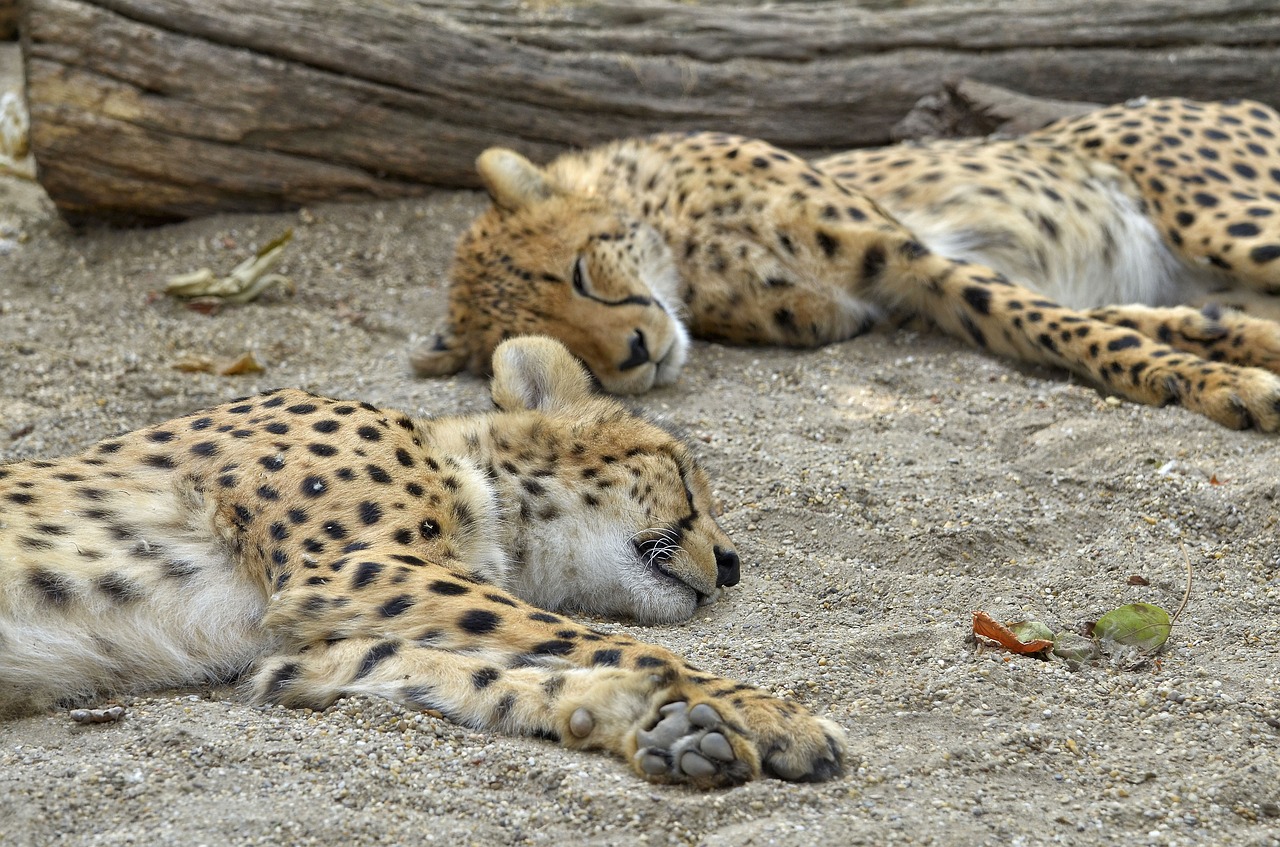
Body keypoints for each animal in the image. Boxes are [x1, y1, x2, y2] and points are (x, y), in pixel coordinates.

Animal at [0, 337, 844, 788]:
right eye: (682, 476)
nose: (731, 564)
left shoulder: (298, 654)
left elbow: (471, 674)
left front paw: (660, 725)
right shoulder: (359, 568)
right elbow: (623, 642)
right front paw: (768, 713)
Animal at [409, 97, 1280, 432]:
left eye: (581, 273)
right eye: (555, 342)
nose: (632, 353)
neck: (685, 244)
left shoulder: (909, 257)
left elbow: (1071, 327)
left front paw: (1218, 384)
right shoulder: (885, 302)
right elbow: (1075, 329)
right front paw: (1208, 372)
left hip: (1227, 219)